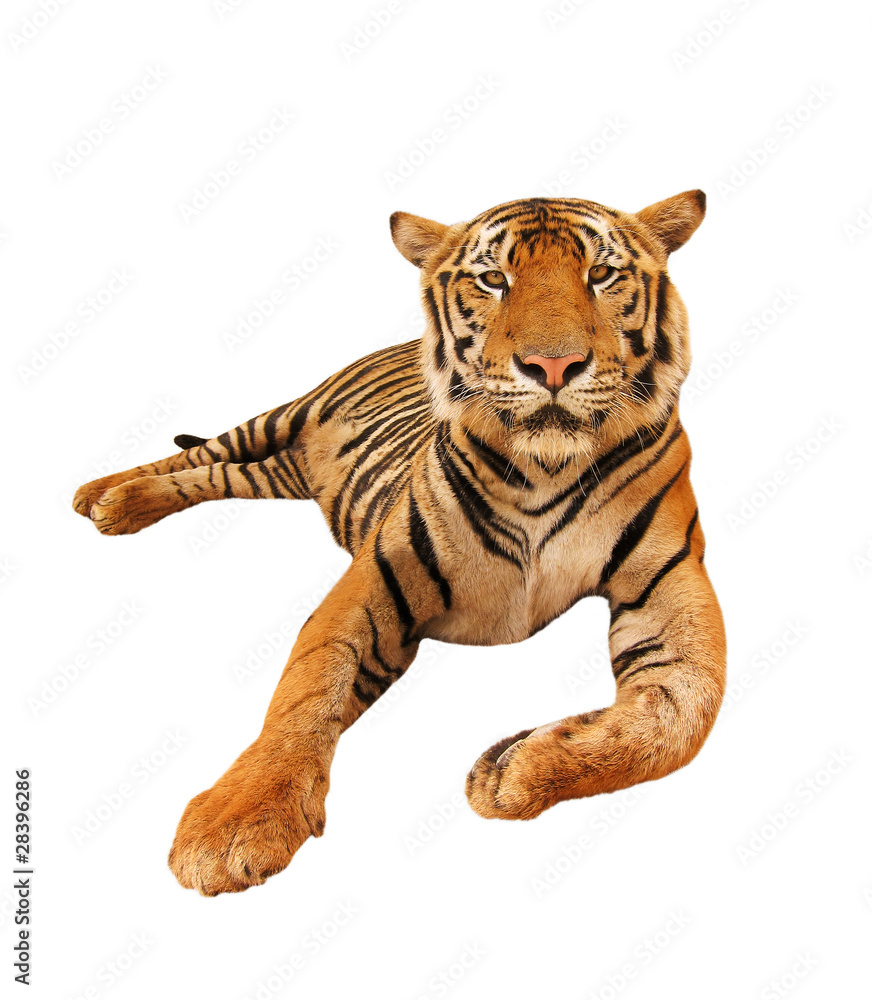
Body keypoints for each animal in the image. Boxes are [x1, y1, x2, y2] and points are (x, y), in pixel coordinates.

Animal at [72, 190, 726, 896]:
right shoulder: (378, 574)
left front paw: (513, 772)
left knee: (215, 474)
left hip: (276, 472)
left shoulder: (672, 582)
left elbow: (683, 715)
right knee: (199, 453)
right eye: (493, 279)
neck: (546, 467)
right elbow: (307, 687)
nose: (552, 366)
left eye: (601, 275)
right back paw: (102, 496)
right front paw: (236, 823)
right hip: (276, 418)